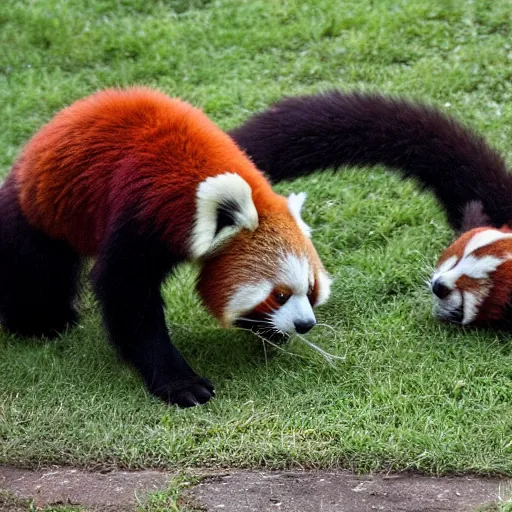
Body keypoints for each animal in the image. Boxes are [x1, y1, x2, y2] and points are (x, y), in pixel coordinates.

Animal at [0, 88, 330, 408]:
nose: (305, 324)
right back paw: (40, 324)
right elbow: (127, 295)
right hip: (40, 214)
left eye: (310, 289)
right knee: (34, 272)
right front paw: (180, 384)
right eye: (280, 295)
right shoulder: (140, 212)